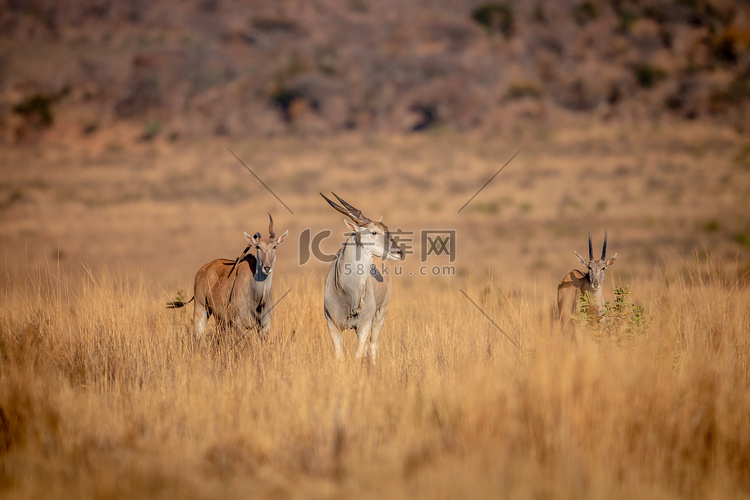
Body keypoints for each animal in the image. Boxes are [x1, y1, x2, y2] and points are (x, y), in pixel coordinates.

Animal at [169, 213, 290, 342]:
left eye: (275, 247)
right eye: (258, 247)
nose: (267, 268)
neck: (258, 297)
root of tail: (203, 269)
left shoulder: (264, 328)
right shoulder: (239, 324)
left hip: (220, 320)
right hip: (200, 309)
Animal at [322, 193, 408, 362]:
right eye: (374, 232)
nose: (399, 252)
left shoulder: (364, 325)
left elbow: (358, 355)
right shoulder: (333, 325)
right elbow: (340, 356)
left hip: (380, 315)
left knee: (373, 346)